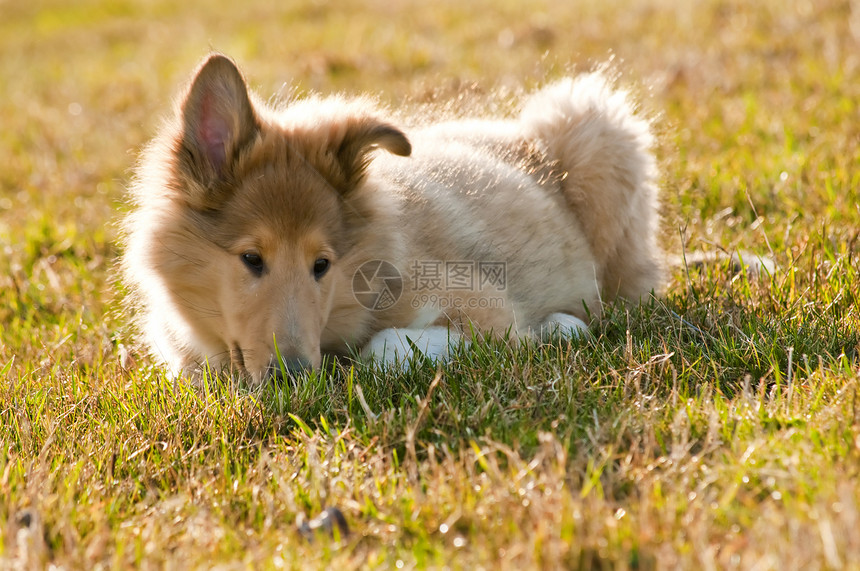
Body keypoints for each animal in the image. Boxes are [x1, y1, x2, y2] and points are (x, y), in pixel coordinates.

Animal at [119, 53, 660, 386]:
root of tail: (520, 133)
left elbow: (383, 349)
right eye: (251, 258)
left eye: (322, 264)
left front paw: (554, 329)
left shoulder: (486, 307)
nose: (295, 377)